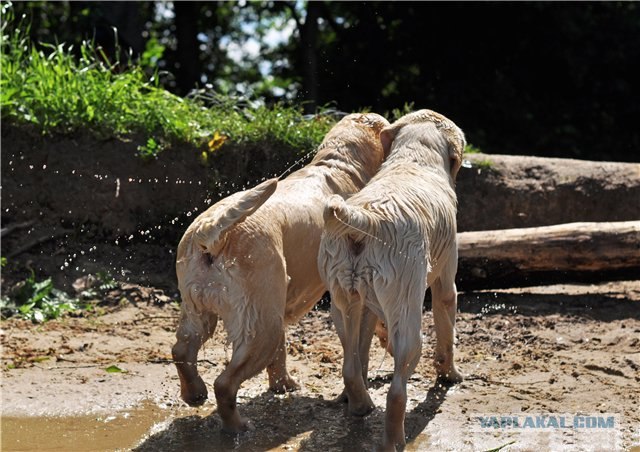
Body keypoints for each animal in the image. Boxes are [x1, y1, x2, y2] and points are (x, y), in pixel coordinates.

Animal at [172, 112, 388, 430]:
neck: (338, 165)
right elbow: (360, 347)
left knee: (182, 350)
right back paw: (238, 426)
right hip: (262, 324)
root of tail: (213, 233)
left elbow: (282, 354)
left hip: (203, 306)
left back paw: (195, 393)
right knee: (224, 383)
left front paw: (282, 386)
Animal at [318, 110, 464, 452]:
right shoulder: (445, 276)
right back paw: (394, 440)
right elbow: (447, 322)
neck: (413, 159)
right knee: (398, 388)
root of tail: (365, 218)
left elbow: (363, 345)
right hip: (409, 320)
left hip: (340, 297)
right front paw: (450, 375)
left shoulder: (367, 304)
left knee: (349, 364)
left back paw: (359, 405)